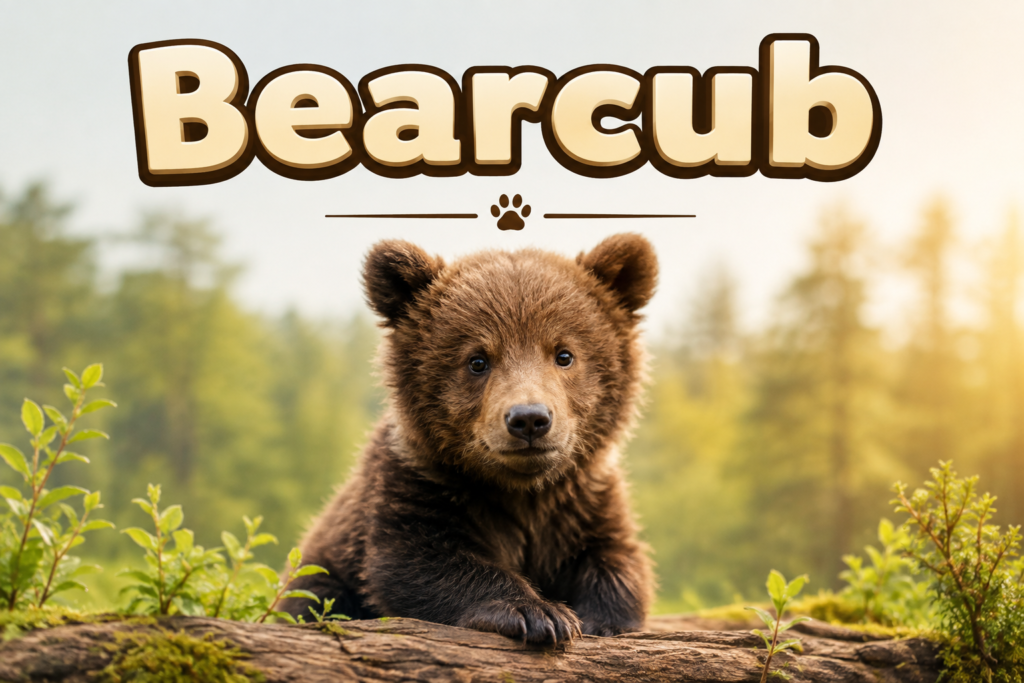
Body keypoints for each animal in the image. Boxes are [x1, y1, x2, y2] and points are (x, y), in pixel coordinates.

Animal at [280, 233, 657, 645]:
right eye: (477, 360)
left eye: (564, 354)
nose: (529, 419)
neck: (522, 491)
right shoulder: (419, 483)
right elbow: (417, 559)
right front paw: (539, 613)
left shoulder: (582, 499)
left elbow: (616, 557)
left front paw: (602, 620)